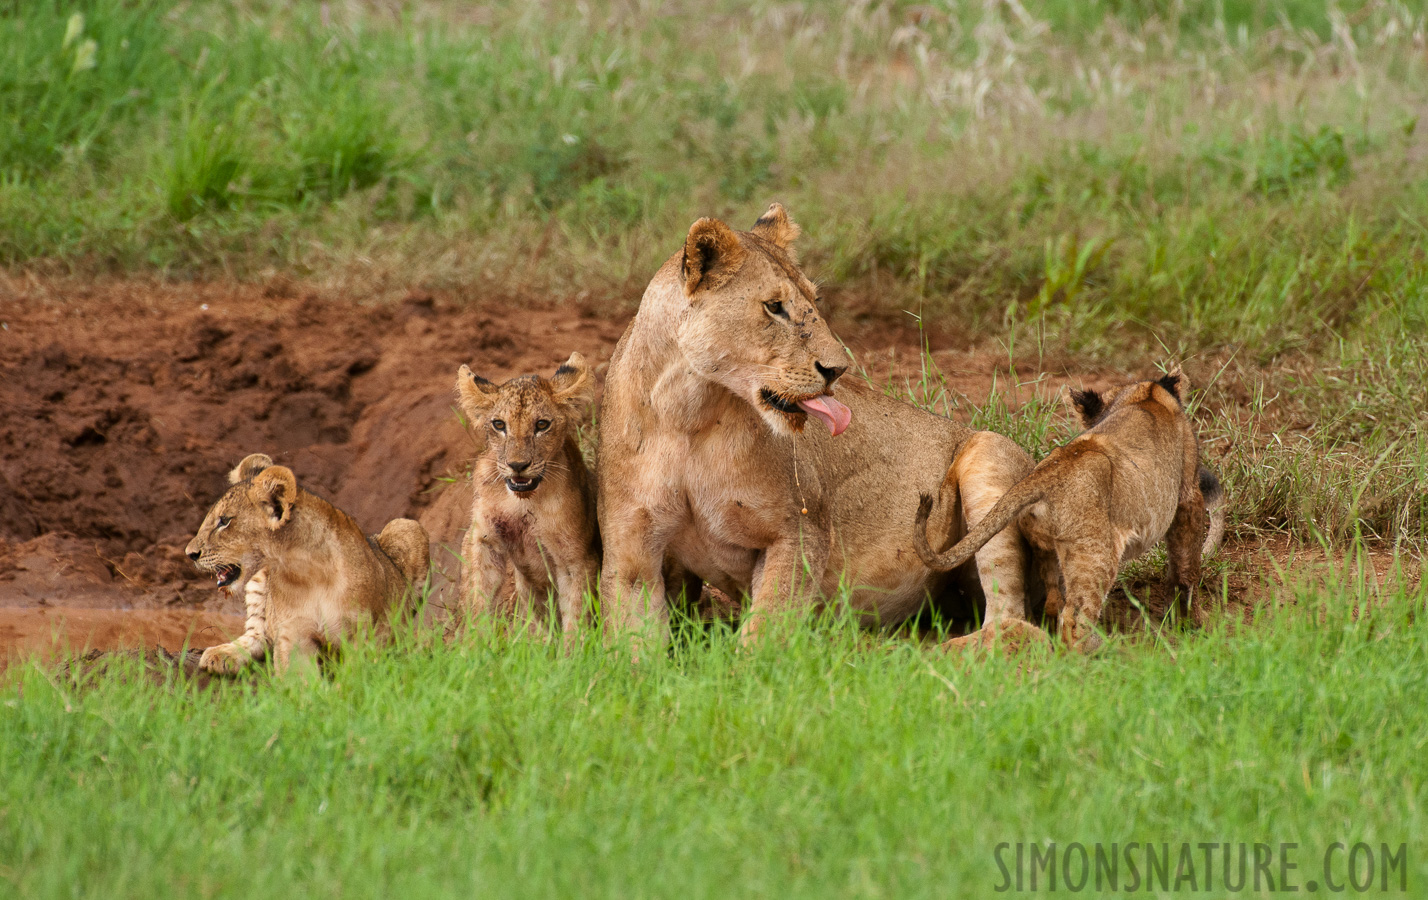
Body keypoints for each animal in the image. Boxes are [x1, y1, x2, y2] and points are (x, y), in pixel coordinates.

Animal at [596, 202, 1045, 648]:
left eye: (814, 299)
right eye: (774, 306)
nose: (837, 370)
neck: (688, 415)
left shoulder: (800, 532)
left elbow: (763, 635)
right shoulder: (630, 553)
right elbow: (631, 647)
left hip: (988, 455)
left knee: (1011, 619)